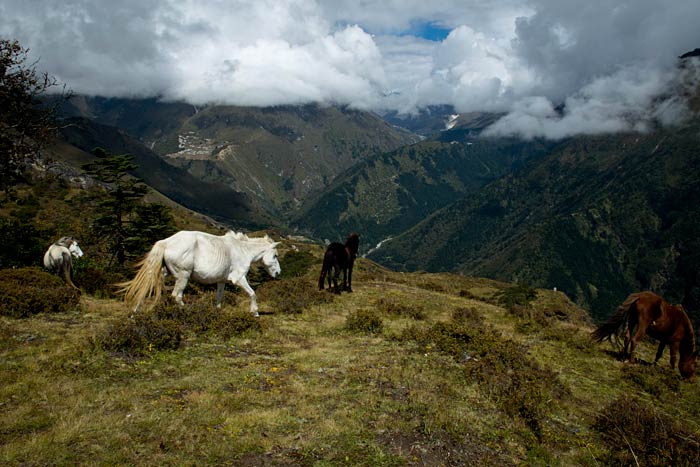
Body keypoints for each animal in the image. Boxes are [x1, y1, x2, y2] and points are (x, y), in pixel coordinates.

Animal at [120, 231, 282, 318]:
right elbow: (252, 293)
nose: (278, 273)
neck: (242, 250)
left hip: (162, 273)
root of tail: (166, 242)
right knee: (177, 296)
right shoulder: (239, 279)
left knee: (146, 289)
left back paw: (134, 313)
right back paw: (187, 312)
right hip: (183, 276)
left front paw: (217, 313)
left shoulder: (221, 281)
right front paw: (255, 312)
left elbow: (219, 297)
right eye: (275, 255)